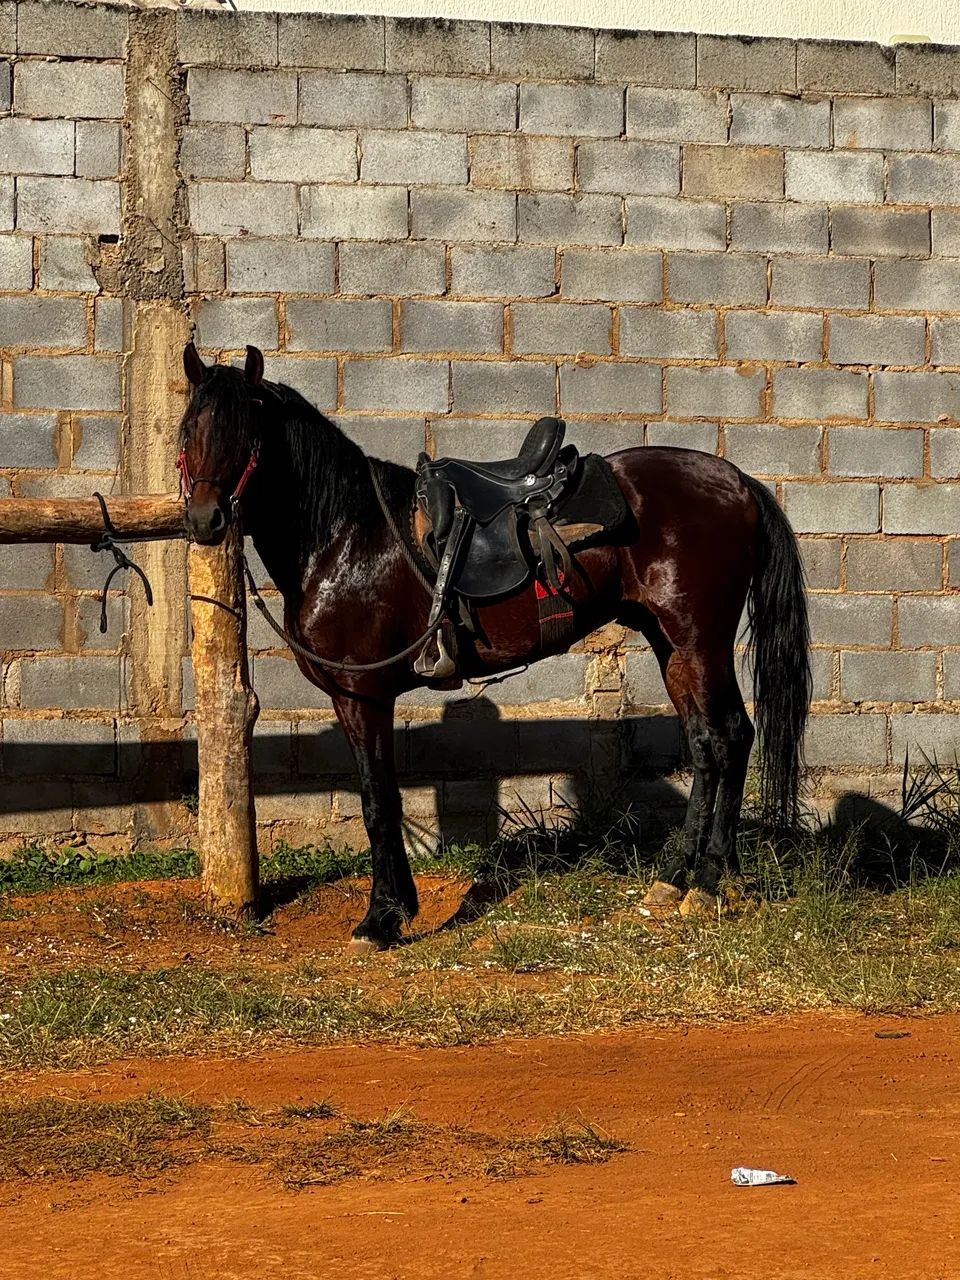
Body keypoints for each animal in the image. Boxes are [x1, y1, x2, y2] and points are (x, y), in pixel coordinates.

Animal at [178, 342, 811, 948]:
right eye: (188, 431)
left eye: (248, 436)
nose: (206, 521)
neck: (346, 538)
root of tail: (739, 484)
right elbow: (380, 796)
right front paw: (395, 910)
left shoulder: (363, 694)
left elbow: (377, 799)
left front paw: (383, 919)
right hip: (671, 646)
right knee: (706, 743)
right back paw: (680, 878)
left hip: (699, 641)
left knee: (732, 736)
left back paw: (709, 881)